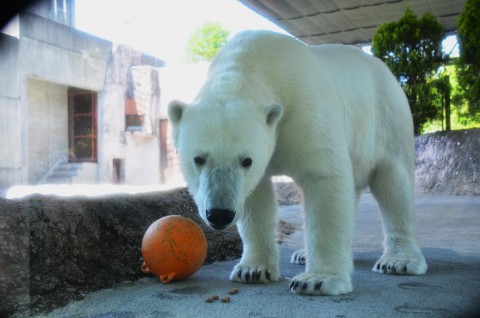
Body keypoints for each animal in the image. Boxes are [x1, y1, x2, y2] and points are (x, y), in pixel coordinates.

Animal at [169, 30, 428, 296]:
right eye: (198, 159)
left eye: (246, 160)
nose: (220, 214)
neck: (251, 64)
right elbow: (255, 198)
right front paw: (252, 270)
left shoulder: (303, 110)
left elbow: (325, 177)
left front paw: (317, 280)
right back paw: (302, 254)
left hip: (387, 119)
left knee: (394, 184)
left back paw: (398, 261)